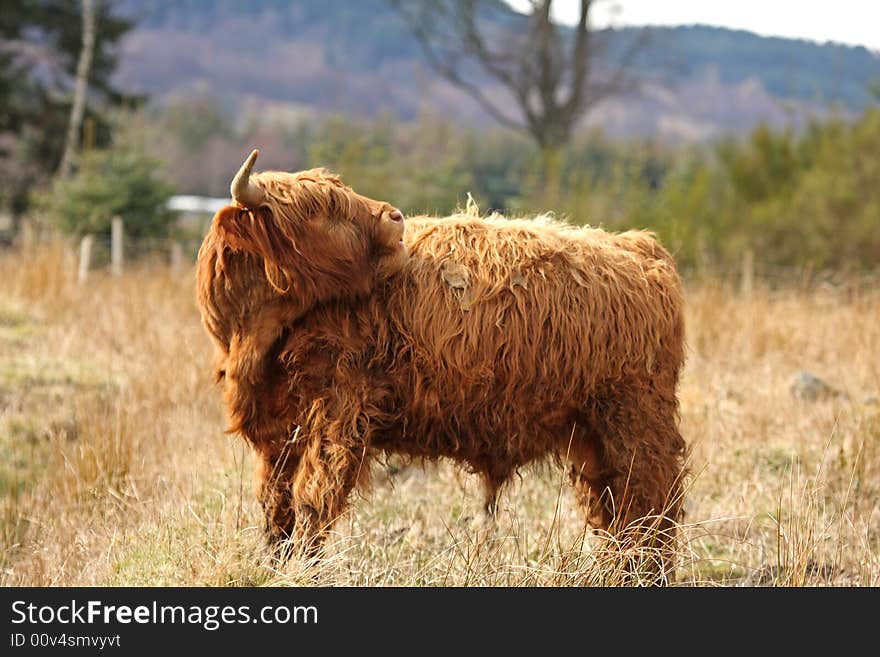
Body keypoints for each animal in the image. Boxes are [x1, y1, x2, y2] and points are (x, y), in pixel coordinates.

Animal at [198, 150, 688, 580]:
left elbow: (312, 499)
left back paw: (648, 572)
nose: (393, 217)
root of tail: (638, 247)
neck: (257, 338)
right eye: (321, 209)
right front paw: (275, 565)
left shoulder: (338, 412)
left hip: (634, 417)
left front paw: (303, 569)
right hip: (589, 430)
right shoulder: (278, 431)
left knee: (654, 501)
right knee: (612, 508)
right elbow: (275, 506)